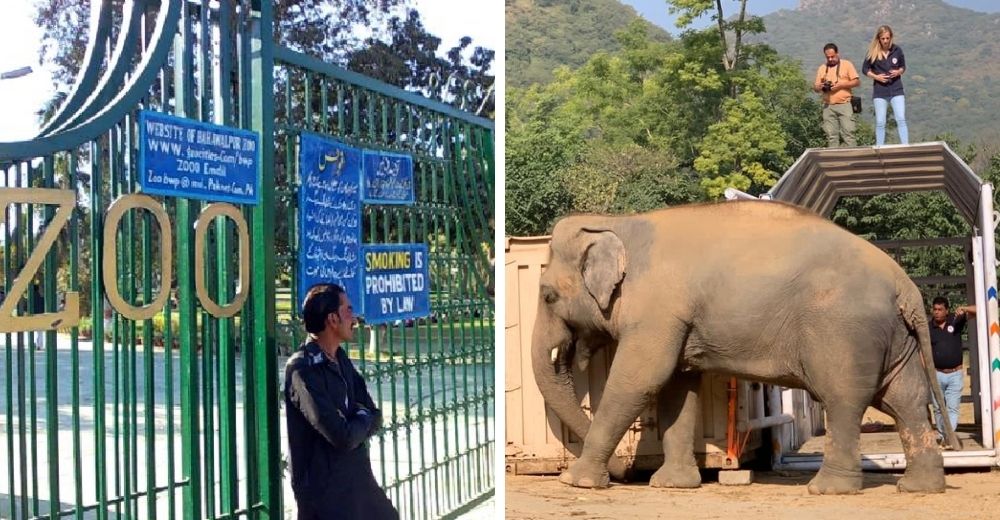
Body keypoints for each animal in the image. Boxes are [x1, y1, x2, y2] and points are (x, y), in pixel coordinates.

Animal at [532, 200, 960, 496]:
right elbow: (677, 389)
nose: (625, 473)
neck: (618, 222)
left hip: (845, 334)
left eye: (548, 295)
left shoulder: (657, 311)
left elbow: (640, 379)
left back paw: (827, 489)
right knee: (906, 399)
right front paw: (672, 485)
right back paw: (918, 488)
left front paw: (575, 482)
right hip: (895, 337)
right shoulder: (676, 319)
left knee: (843, 400)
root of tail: (905, 285)